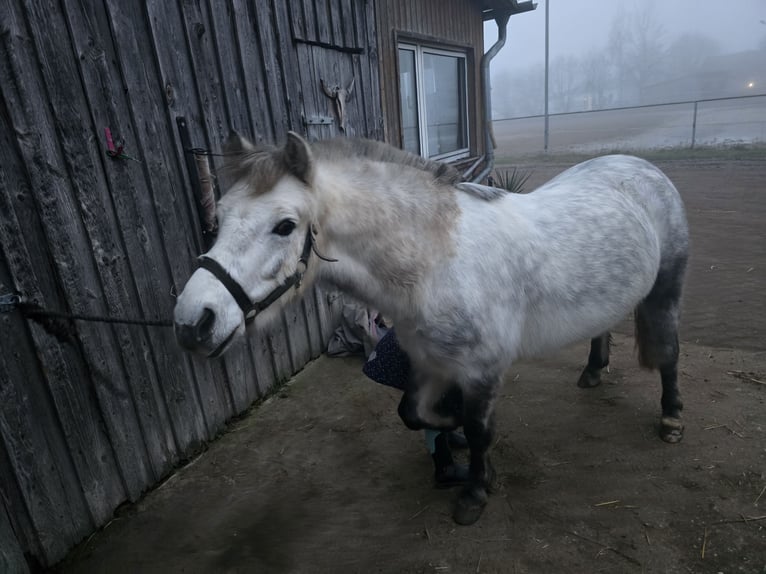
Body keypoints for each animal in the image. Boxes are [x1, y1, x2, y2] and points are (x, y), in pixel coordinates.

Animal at [173, 132, 689, 526]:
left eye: (284, 226)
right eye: (221, 216)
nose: (193, 322)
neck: (435, 262)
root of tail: (642, 168)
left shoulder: (482, 369)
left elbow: (479, 429)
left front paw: (476, 490)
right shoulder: (429, 362)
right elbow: (415, 414)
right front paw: (462, 449)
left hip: (666, 290)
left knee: (669, 353)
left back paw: (671, 418)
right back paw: (593, 371)